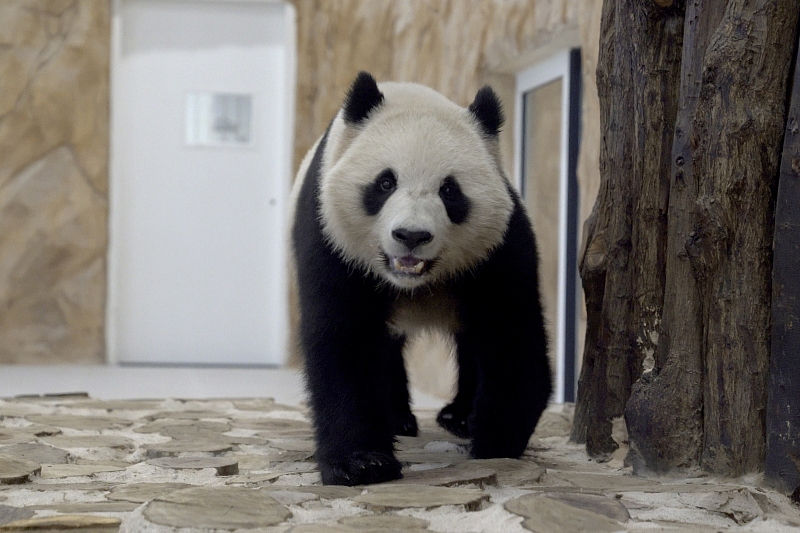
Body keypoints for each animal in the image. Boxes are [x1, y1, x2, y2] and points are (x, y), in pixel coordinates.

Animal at [292, 71, 552, 486]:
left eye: (450, 190)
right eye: (385, 183)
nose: (411, 236)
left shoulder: (498, 249)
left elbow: (512, 336)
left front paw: (495, 440)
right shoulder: (332, 239)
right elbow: (346, 340)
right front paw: (362, 462)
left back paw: (457, 417)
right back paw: (399, 419)